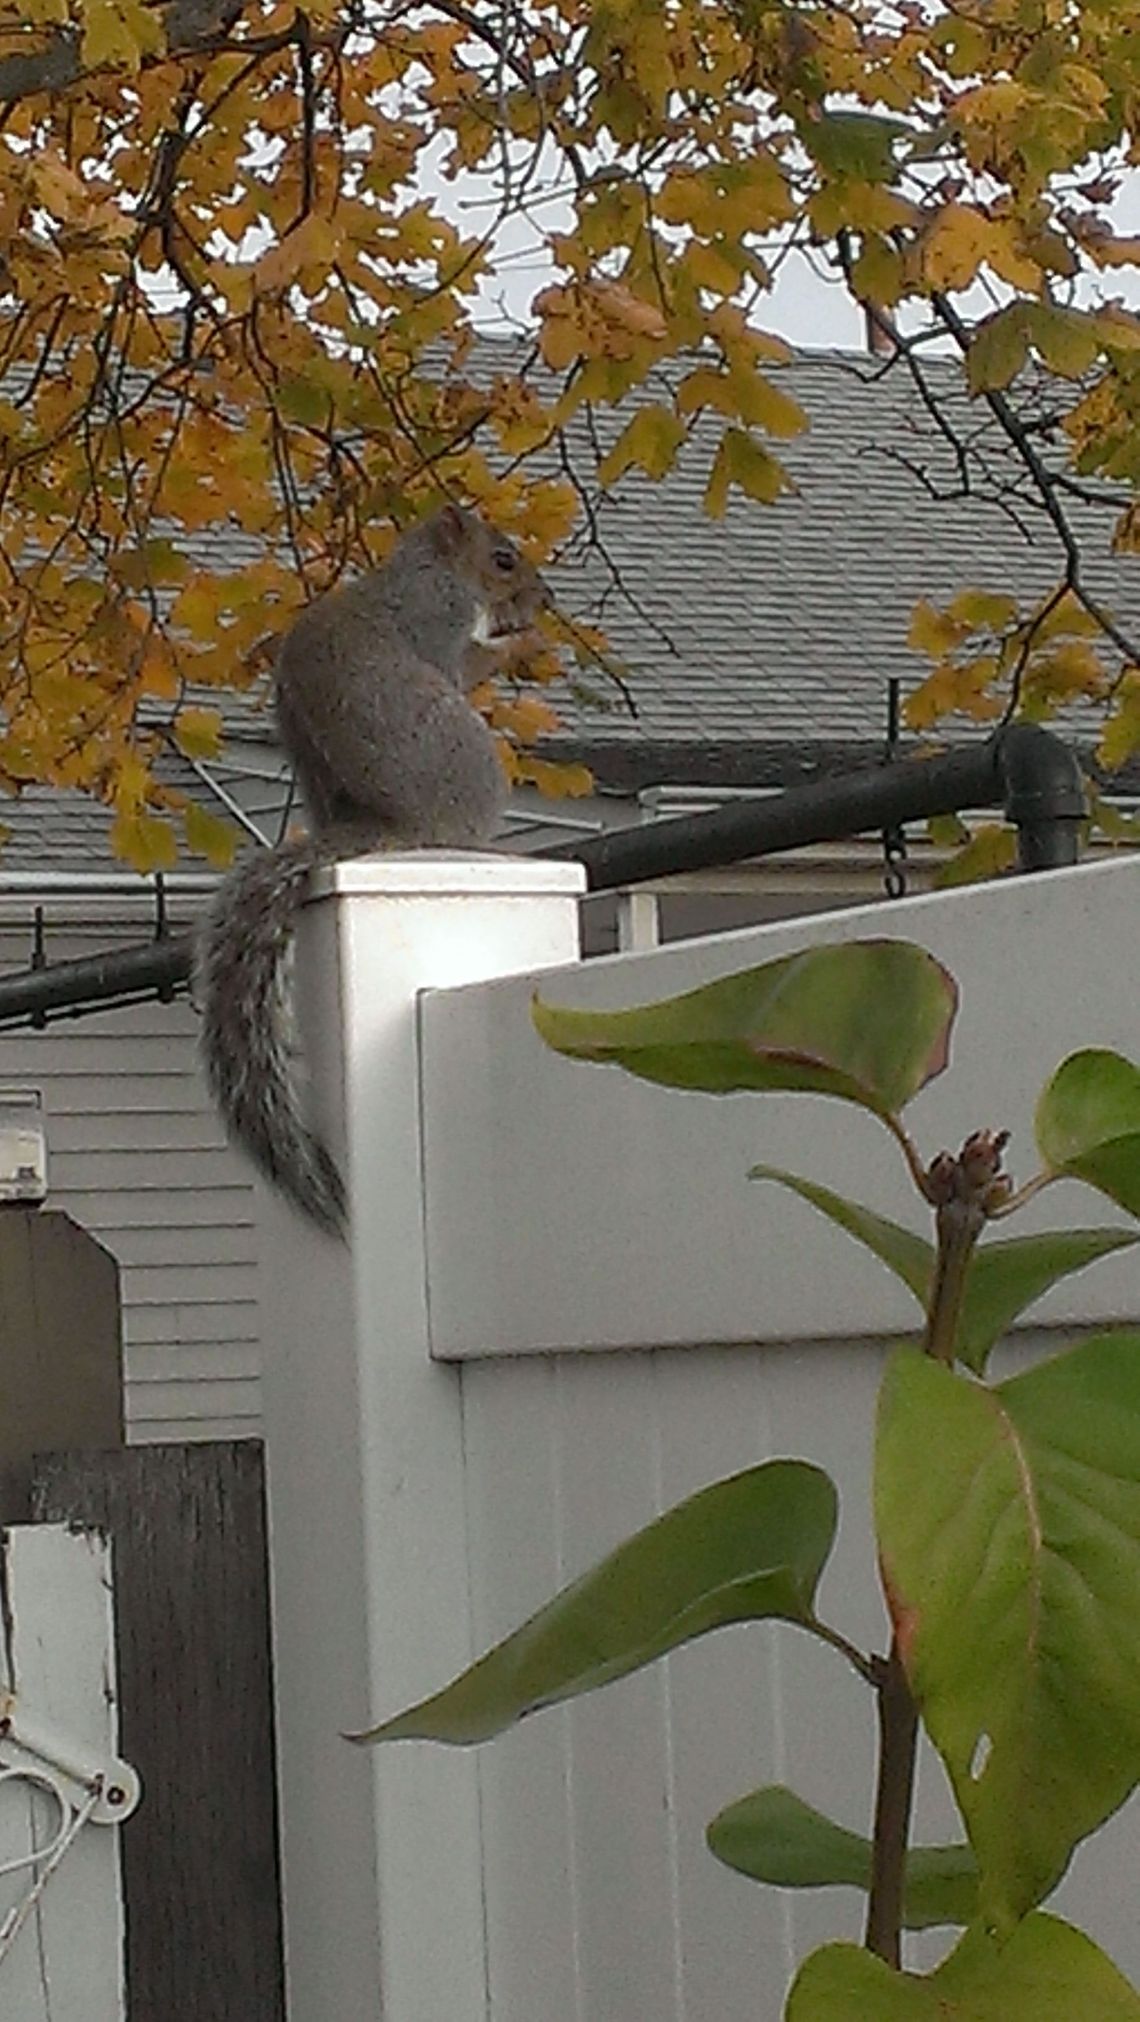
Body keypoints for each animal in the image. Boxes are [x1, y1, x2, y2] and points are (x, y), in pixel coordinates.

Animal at [198, 504, 550, 1238]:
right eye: (503, 559)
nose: (545, 599)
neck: (428, 566)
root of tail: (390, 825)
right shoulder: (439, 615)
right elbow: (464, 664)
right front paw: (517, 643)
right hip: (473, 765)